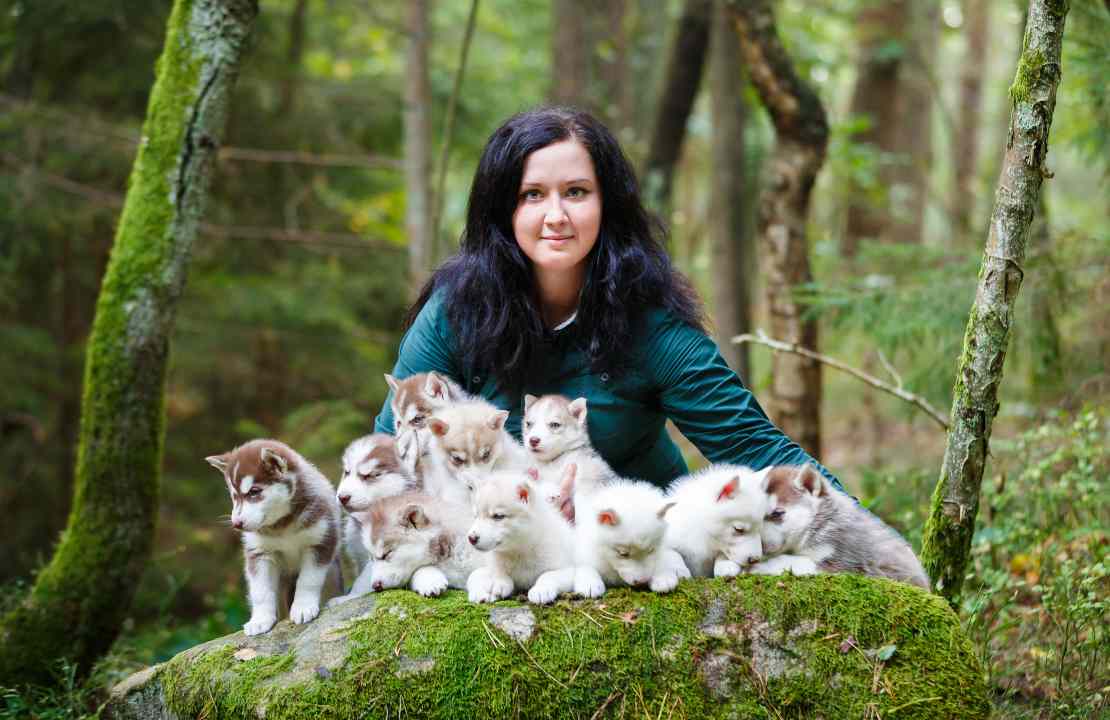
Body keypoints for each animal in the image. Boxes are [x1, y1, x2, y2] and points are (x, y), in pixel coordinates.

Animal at [206, 437, 339, 634]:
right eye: (234, 496)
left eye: (254, 491)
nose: (236, 524)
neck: (283, 525)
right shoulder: (259, 554)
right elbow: (261, 591)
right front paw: (260, 620)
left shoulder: (320, 542)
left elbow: (309, 580)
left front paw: (303, 607)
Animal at [463, 468, 577, 603]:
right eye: (476, 516)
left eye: (498, 516)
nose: (471, 538)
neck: (519, 551)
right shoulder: (490, 566)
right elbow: (485, 574)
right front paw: (498, 582)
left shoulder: (568, 569)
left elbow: (548, 575)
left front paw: (541, 590)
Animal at [750, 461, 932, 590]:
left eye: (777, 513)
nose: (759, 548)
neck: (820, 525)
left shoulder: (842, 565)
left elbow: (794, 561)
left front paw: (763, 565)